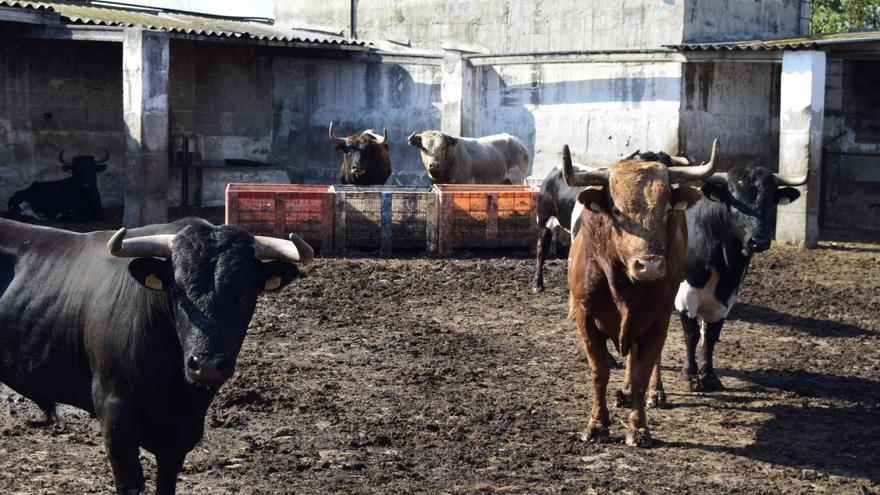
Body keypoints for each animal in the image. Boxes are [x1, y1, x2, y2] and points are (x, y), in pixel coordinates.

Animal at [0, 219, 312, 495]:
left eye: (245, 291)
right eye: (176, 289)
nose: (207, 365)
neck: (174, 387)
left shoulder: (178, 437)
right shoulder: (115, 418)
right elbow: (130, 483)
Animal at [568, 139, 720, 446]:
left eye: (666, 211)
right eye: (616, 211)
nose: (649, 265)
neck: (622, 287)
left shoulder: (656, 320)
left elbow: (643, 371)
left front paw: (638, 428)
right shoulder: (585, 318)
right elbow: (599, 372)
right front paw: (597, 424)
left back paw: (654, 393)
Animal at [676, 167, 808, 392]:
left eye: (769, 200)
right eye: (735, 200)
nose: (759, 240)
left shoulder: (726, 299)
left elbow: (711, 336)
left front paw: (709, 375)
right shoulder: (685, 296)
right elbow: (691, 335)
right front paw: (689, 373)